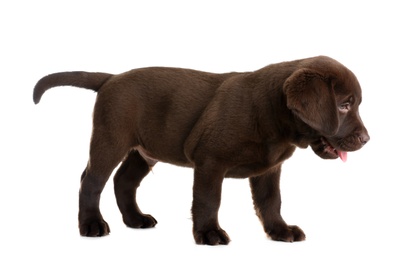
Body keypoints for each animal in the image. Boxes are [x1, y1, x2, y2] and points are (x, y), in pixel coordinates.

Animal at [33, 55, 368, 245]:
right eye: (344, 105)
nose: (366, 139)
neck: (274, 119)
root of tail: (111, 78)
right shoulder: (210, 162)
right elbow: (208, 201)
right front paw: (209, 234)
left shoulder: (269, 171)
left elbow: (271, 202)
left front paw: (279, 230)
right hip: (110, 140)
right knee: (91, 181)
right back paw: (91, 225)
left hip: (145, 151)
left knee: (123, 181)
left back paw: (136, 219)